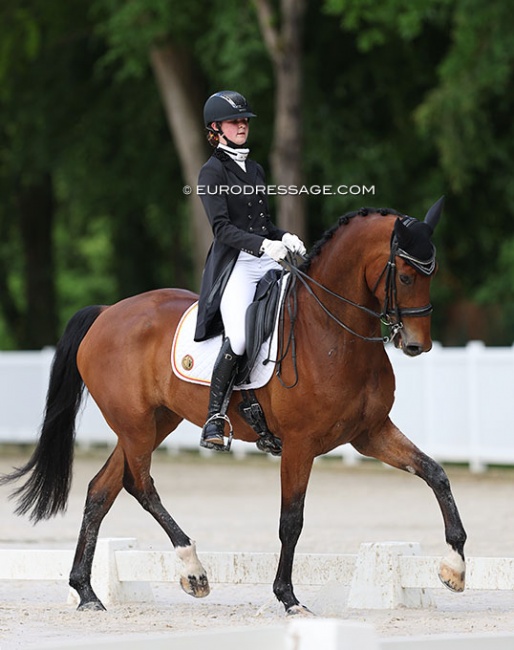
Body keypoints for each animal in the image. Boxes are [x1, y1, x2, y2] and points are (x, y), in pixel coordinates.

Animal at [0, 197, 464, 612]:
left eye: (433, 273)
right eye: (406, 276)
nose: (416, 345)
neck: (332, 332)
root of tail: (106, 313)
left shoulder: (370, 434)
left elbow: (435, 474)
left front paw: (455, 566)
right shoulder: (300, 444)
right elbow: (291, 520)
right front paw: (288, 597)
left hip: (153, 423)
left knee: (102, 490)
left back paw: (86, 592)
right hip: (135, 425)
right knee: (139, 485)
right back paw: (192, 570)